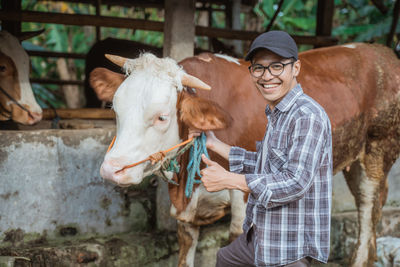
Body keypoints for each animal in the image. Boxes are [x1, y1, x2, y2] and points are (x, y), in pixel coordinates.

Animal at [90, 44, 400, 267]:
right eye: (115, 108)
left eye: (162, 117)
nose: (111, 169)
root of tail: (382, 52)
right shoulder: (186, 211)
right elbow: (186, 248)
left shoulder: (245, 194)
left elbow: (237, 236)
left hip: (379, 148)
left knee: (368, 205)